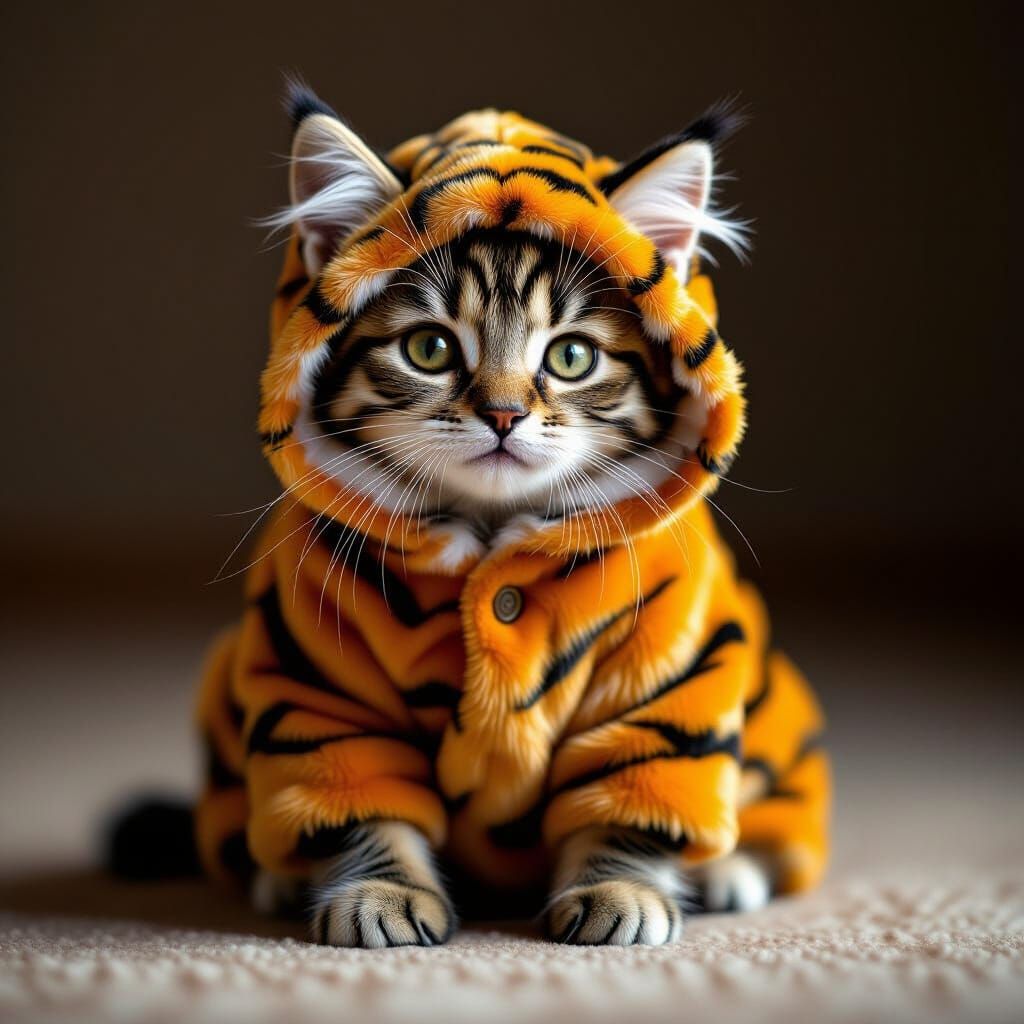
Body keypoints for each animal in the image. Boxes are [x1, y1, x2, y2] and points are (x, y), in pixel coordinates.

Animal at [187, 82, 829, 947]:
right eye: (429, 350)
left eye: (570, 357)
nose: (502, 415)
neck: (492, 539)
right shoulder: (319, 689)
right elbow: (362, 812)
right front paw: (380, 897)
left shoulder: (662, 684)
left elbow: (630, 808)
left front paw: (619, 895)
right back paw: (278, 880)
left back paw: (727, 875)